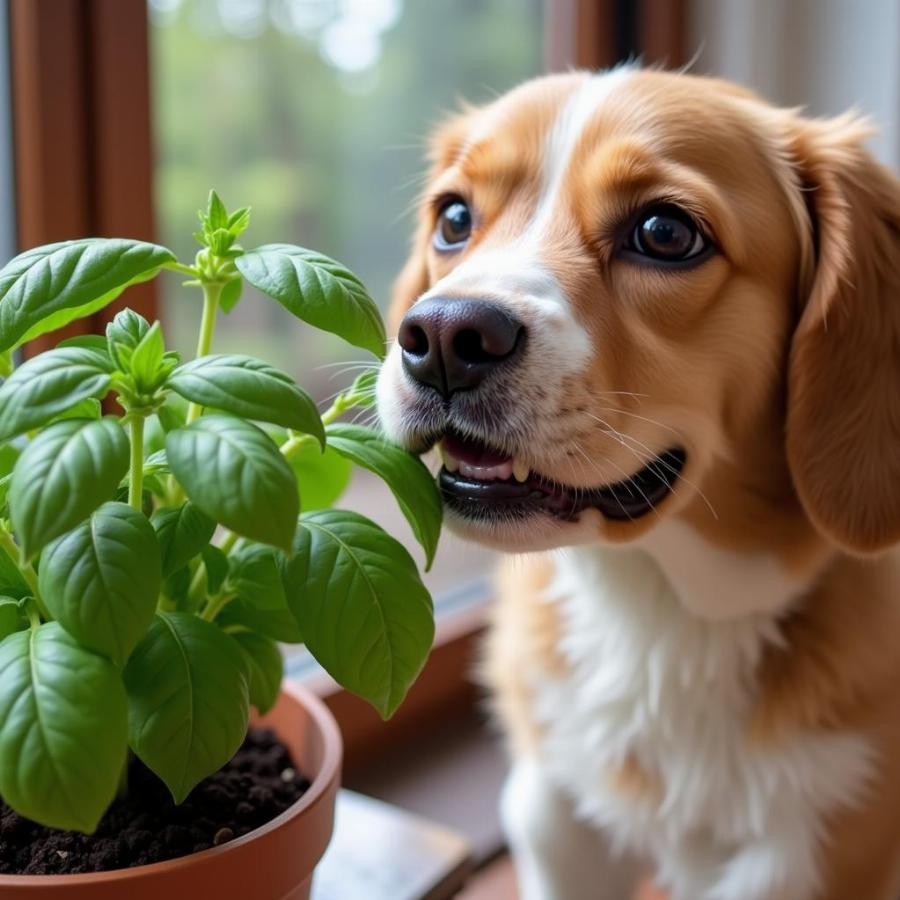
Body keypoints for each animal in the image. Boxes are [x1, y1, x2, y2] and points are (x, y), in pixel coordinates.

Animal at [374, 68, 900, 900]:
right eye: (454, 217)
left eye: (665, 234)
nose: (445, 337)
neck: (657, 617)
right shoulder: (553, 816)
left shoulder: (815, 857)